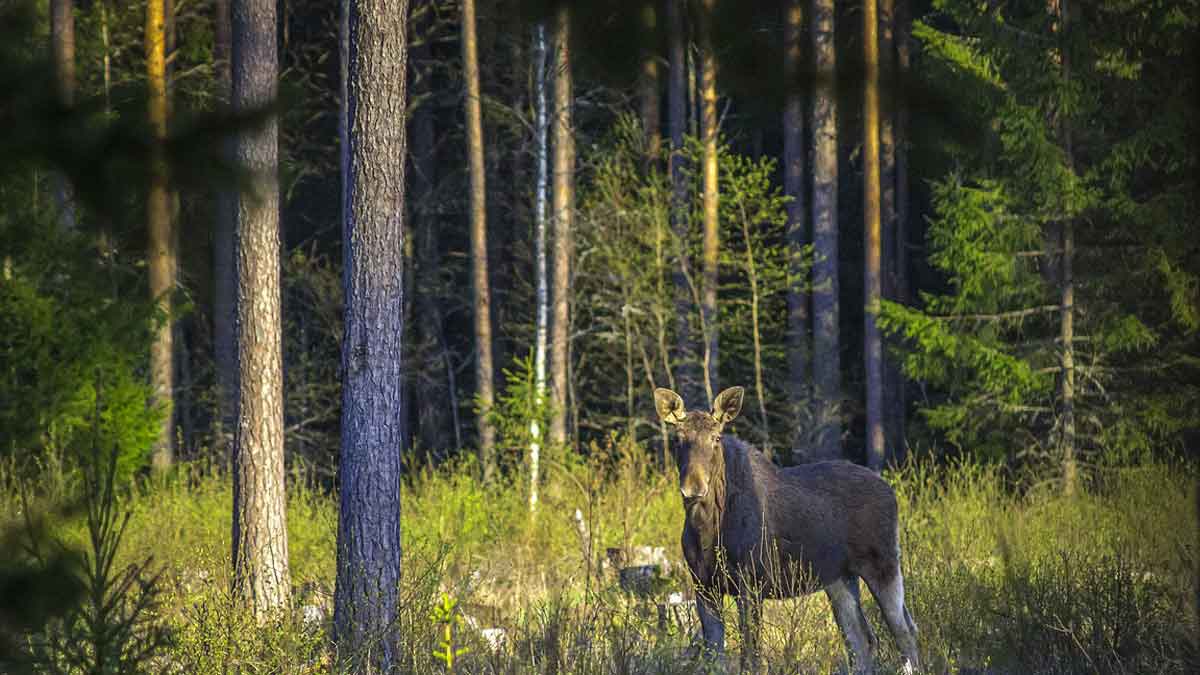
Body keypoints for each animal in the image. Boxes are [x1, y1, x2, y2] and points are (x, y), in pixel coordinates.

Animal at [657, 386, 916, 667]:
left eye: (716, 438)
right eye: (677, 439)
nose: (694, 487)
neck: (706, 529)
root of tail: (891, 491)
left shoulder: (751, 585)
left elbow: (751, 656)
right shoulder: (704, 587)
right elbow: (715, 656)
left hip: (883, 564)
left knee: (905, 631)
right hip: (839, 578)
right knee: (861, 639)